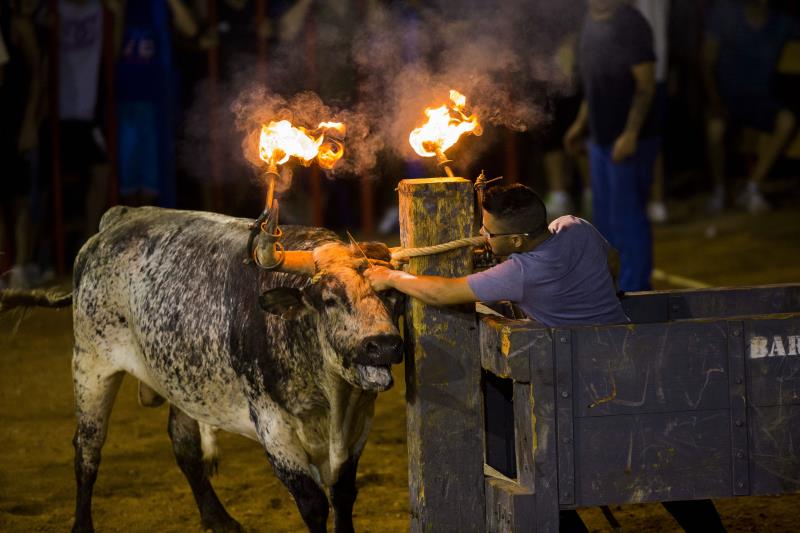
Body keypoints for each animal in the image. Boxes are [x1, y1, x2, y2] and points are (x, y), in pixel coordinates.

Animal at [7, 206, 406, 528]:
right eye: (329, 299)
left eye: (390, 294)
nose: (383, 344)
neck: (331, 399)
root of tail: (116, 219)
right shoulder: (274, 428)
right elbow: (314, 505)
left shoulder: (357, 428)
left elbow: (343, 497)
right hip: (91, 364)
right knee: (87, 449)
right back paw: (82, 524)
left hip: (180, 381)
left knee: (184, 446)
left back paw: (219, 520)